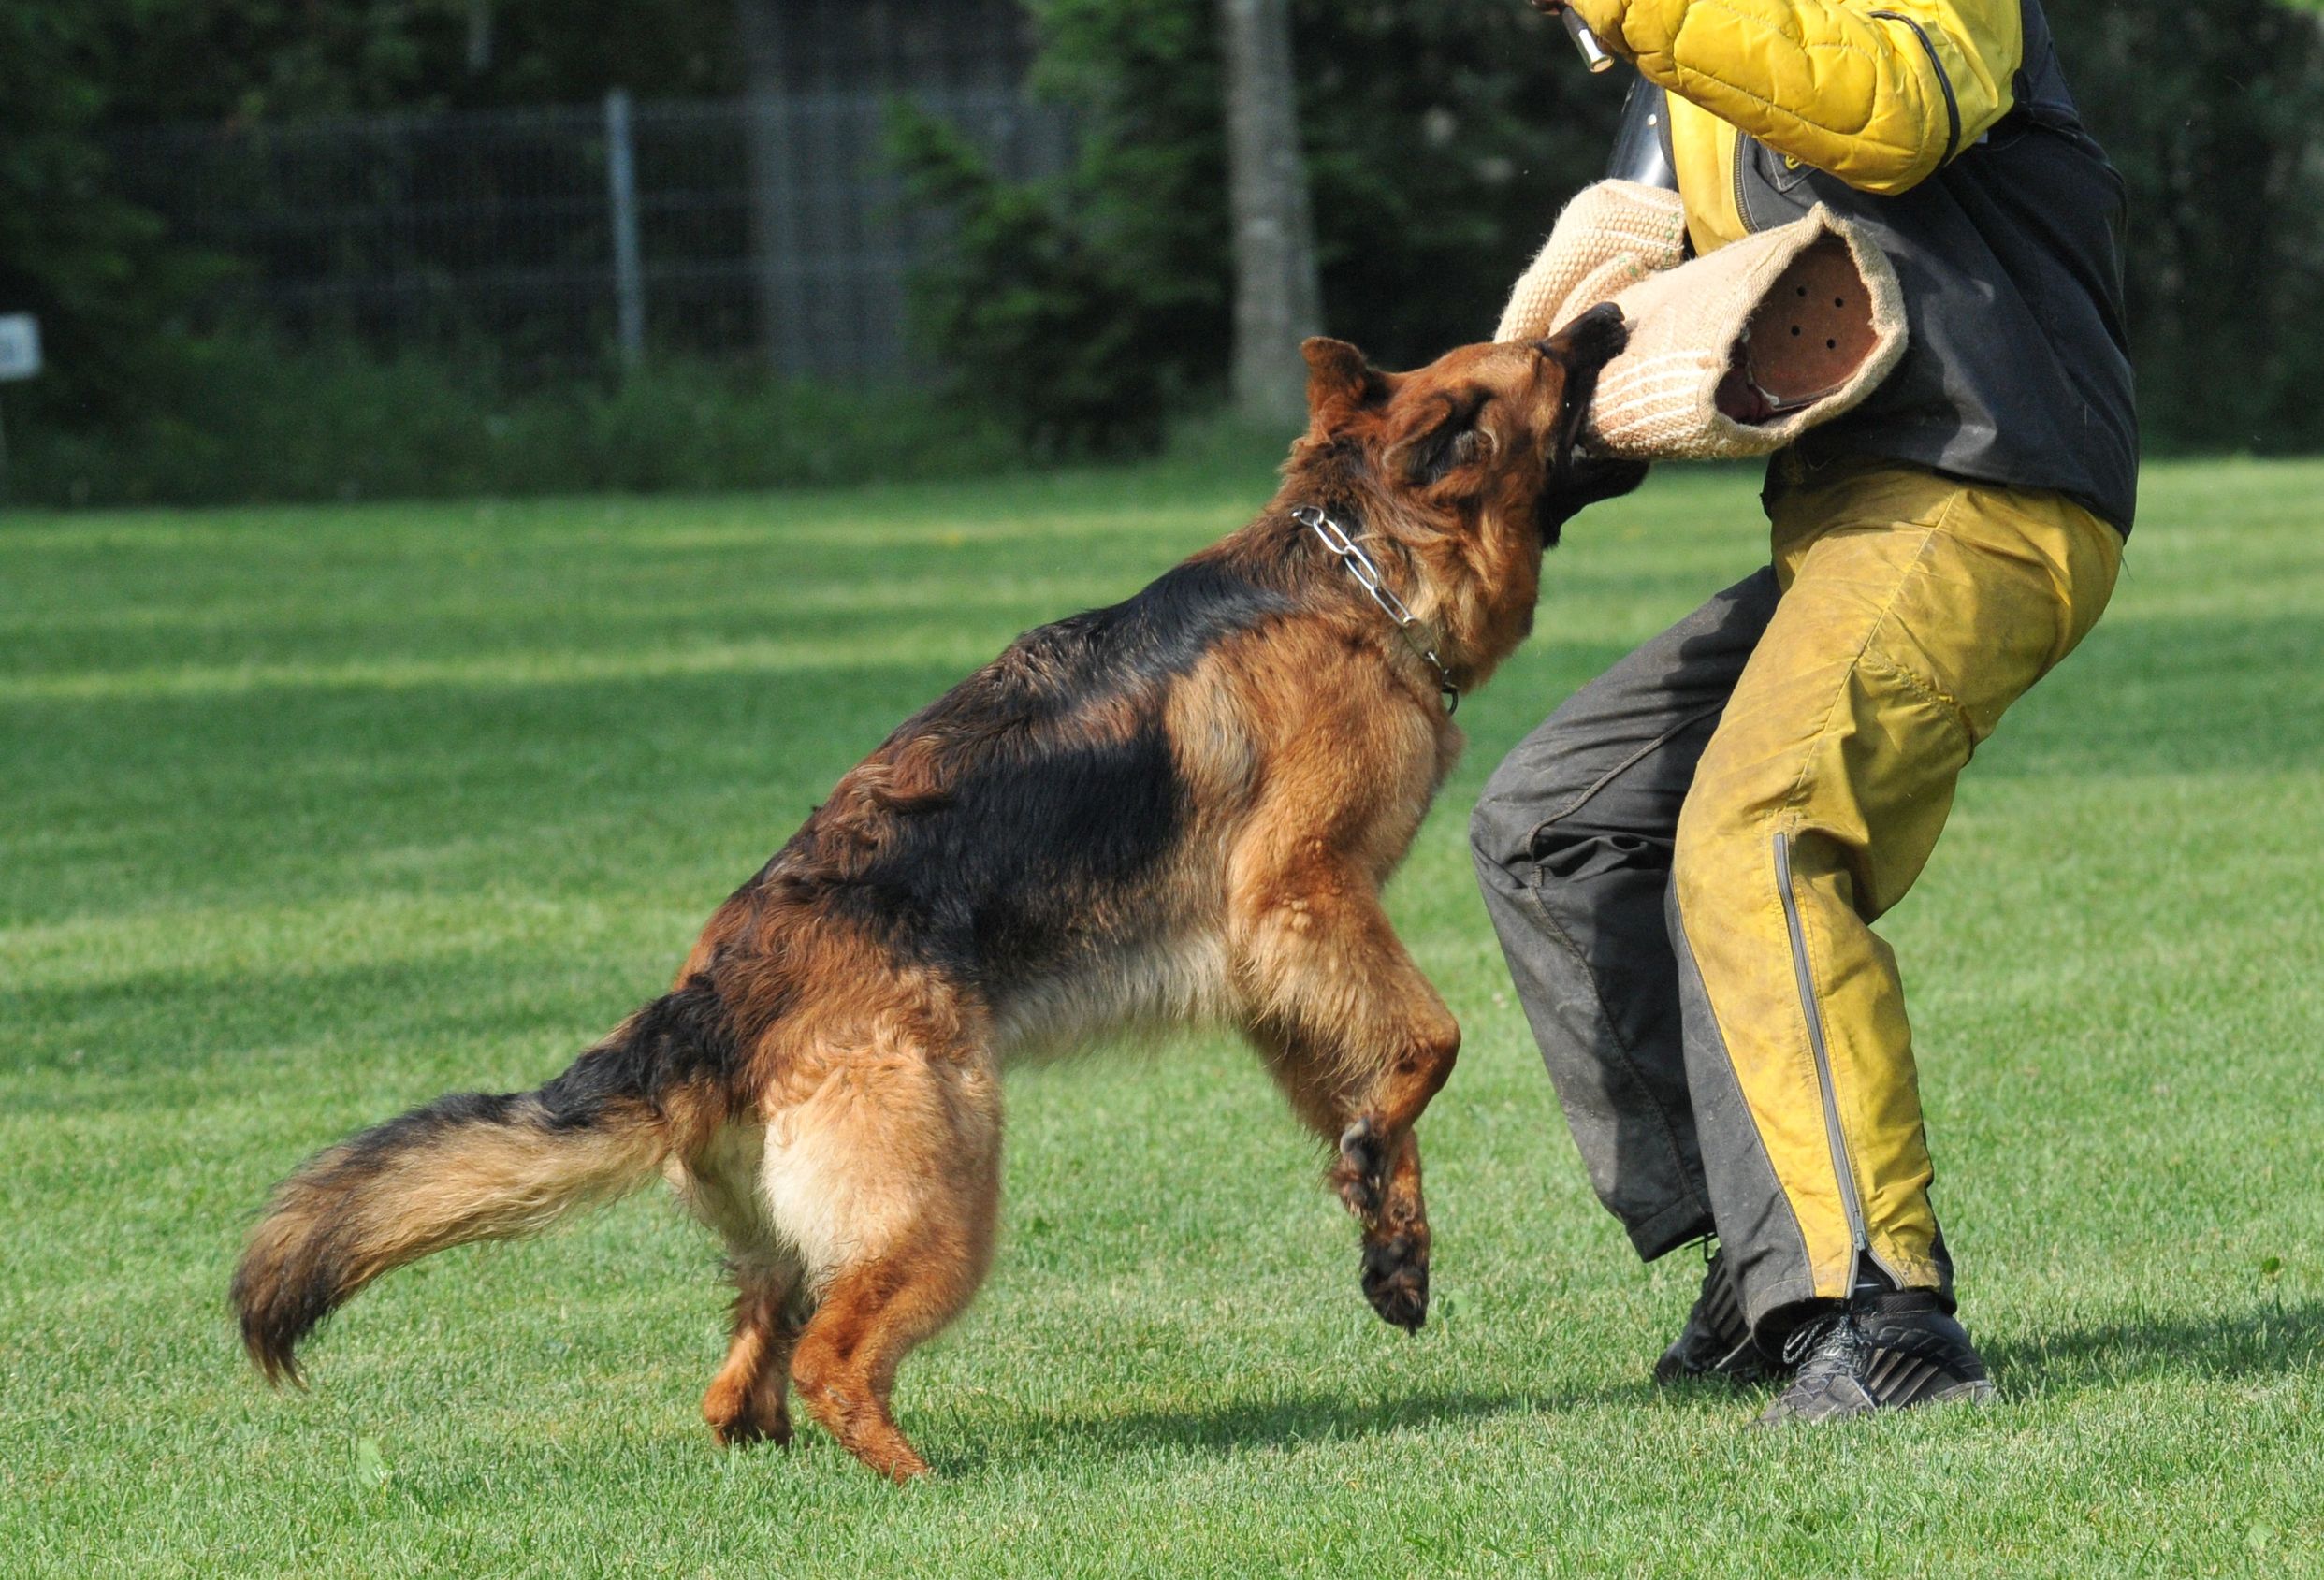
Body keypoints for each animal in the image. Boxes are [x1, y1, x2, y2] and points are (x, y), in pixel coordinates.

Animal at [231, 301, 1635, 1477]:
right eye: (1550, 357)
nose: (1617, 311)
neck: (1359, 570)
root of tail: (706, 1006)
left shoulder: (1280, 968)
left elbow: (1371, 1101)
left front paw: (1386, 1225)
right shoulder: (1302, 897)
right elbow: (1434, 1043)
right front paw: (1380, 1159)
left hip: (809, 1230)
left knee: (741, 1373)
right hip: (945, 1200)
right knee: (832, 1358)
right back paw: (917, 1487)